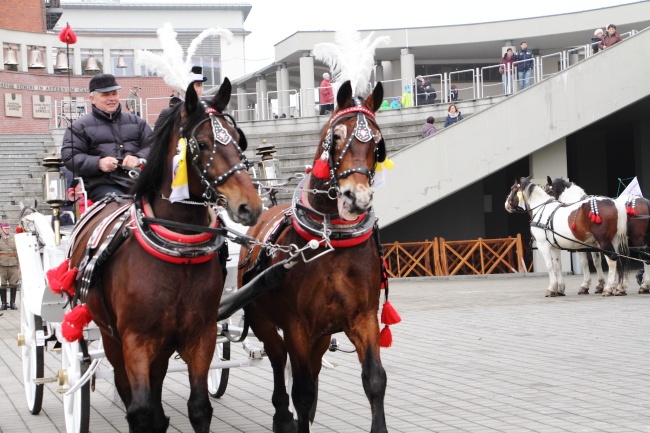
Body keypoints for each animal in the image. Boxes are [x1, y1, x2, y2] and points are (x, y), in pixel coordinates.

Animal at [64, 78, 260, 432]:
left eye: (238, 140)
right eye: (202, 144)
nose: (249, 206)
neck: (179, 254)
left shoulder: (201, 335)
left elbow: (199, 407)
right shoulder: (135, 340)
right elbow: (140, 410)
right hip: (110, 335)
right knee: (126, 387)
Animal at [238, 81, 390, 432]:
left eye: (377, 145)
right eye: (336, 137)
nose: (358, 198)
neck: (328, 237)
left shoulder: (363, 316)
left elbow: (374, 380)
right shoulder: (296, 324)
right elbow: (303, 390)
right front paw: (295, 413)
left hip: (322, 333)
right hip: (262, 318)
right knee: (277, 356)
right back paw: (282, 415)